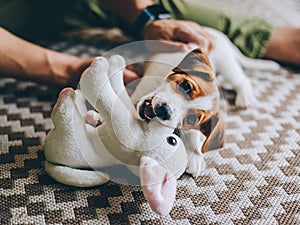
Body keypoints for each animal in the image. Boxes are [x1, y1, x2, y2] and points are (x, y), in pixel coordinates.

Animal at [131, 26, 278, 178]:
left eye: (192, 119)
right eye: (186, 86)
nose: (165, 111)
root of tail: (215, 33)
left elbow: (194, 134)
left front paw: (195, 156)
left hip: (228, 66)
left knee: (242, 80)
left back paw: (245, 97)